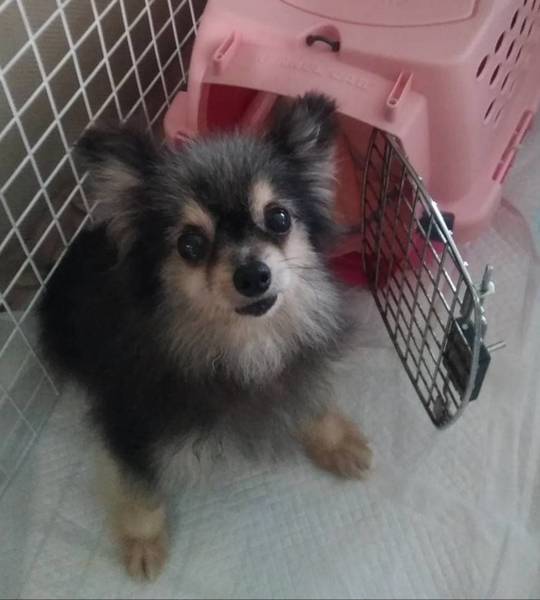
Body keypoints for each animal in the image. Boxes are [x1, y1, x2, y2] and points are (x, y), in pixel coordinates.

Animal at [38, 93, 372, 580]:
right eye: (190, 244)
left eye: (279, 218)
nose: (253, 275)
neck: (242, 343)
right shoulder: (129, 421)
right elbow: (139, 487)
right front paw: (143, 541)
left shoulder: (294, 366)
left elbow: (314, 401)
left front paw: (336, 441)